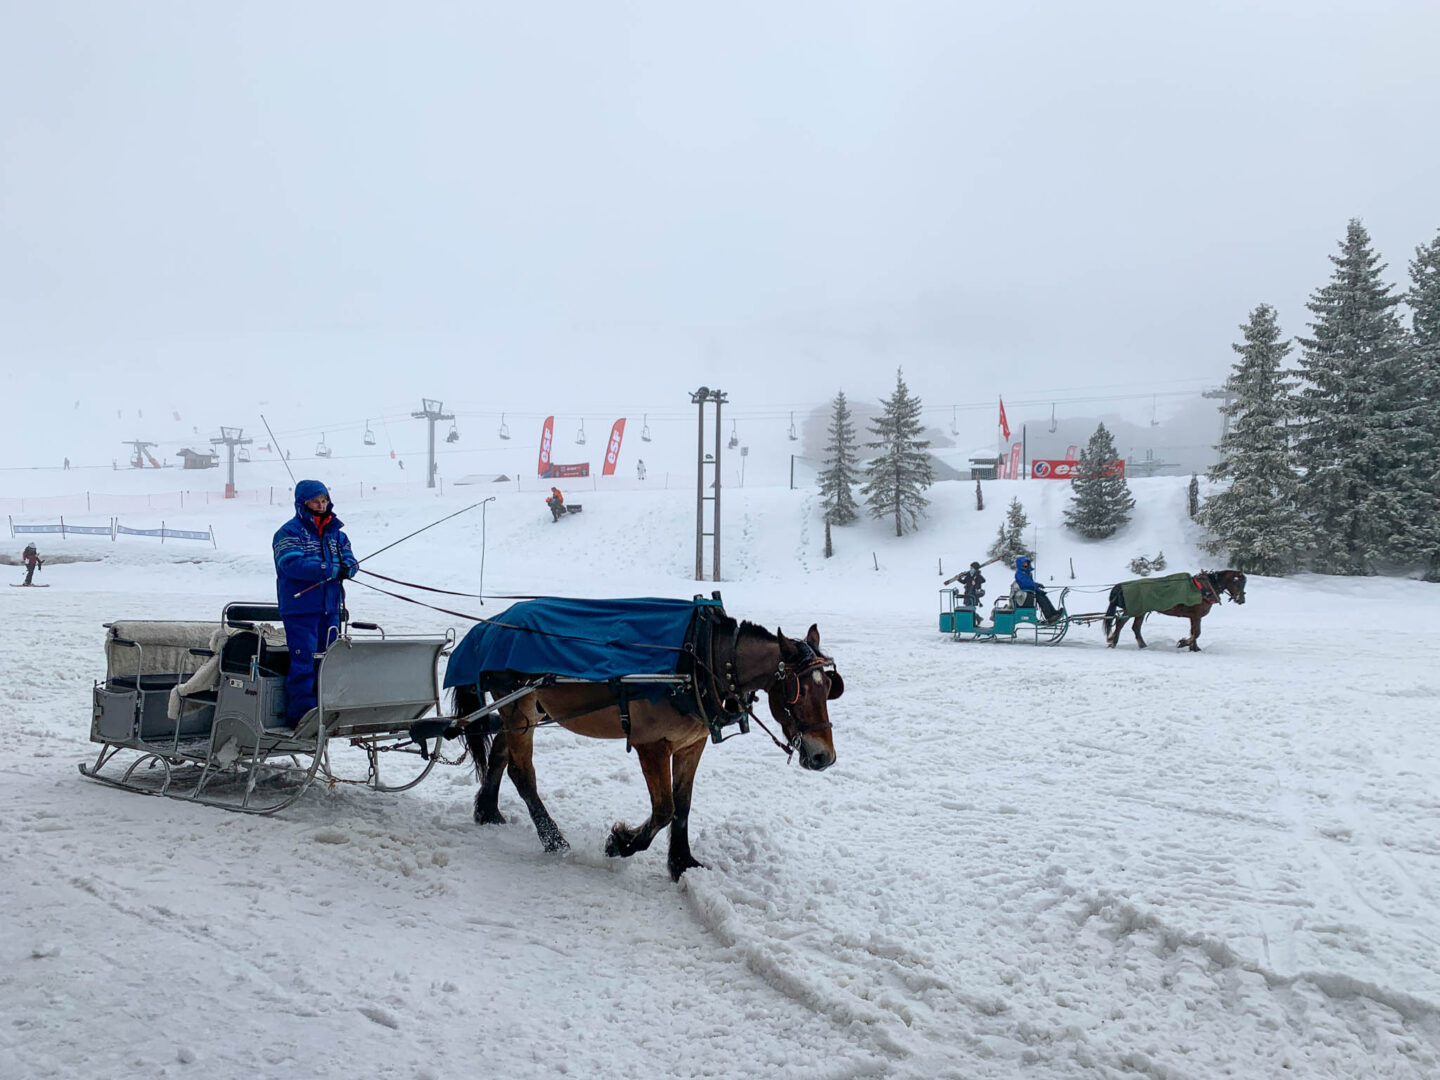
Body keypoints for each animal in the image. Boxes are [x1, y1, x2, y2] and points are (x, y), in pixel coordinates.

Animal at [452, 622, 840, 881]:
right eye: (798, 692)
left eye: (828, 688)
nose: (824, 757)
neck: (700, 660)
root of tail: (489, 627)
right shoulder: (651, 745)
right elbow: (664, 809)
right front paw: (620, 843)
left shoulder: (691, 744)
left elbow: (683, 805)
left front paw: (682, 863)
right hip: (518, 704)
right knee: (522, 773)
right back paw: (553, 838)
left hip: (527, 709)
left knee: (501, 755)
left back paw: (488, 811)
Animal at [1105, 576, 1244, 650]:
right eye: (1238, 583)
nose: (1242, 600)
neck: (1205, 588)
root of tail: (1121, 586)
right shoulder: (1196, 615)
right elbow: (1196, 632)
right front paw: (1184, 643)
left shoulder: (1194, 616)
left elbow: (1194, 632)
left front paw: (1194, 648)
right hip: (1133, 610)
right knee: (1120, 623)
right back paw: (1113, 642)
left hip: (1140, 611)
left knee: (1135, 627)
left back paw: (1143, 645)